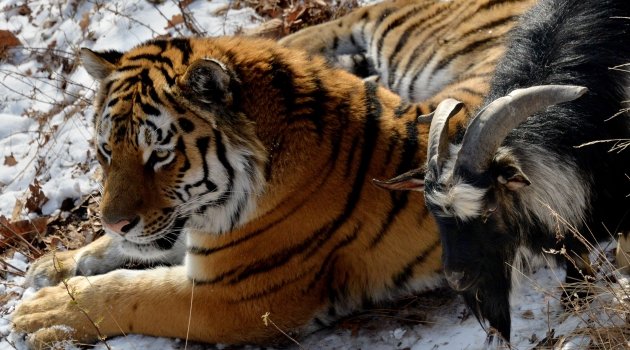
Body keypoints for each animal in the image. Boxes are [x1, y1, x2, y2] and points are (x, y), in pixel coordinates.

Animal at [12, 0, 540, 348]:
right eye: (105, 152)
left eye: (159, 155)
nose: (114, 221)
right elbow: (123, 254)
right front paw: (53, 264)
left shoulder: (233, 297)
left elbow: (128, 294)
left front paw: (43, 312)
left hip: (404, 36)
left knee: (353, 16)